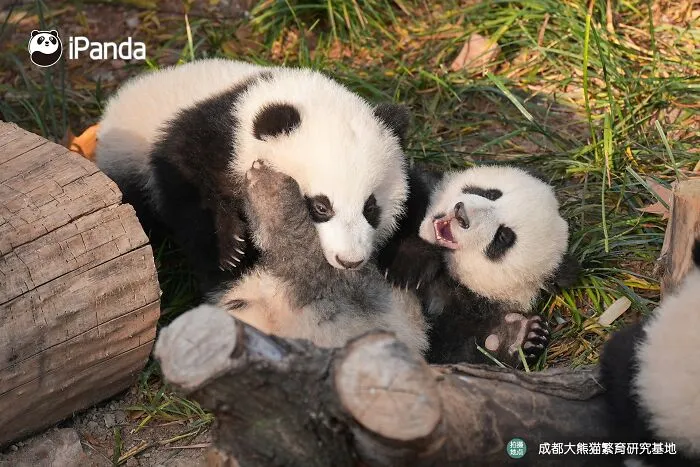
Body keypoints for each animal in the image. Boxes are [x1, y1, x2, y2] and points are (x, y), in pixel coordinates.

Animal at [96, 58, 410, 293]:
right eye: (321, 206)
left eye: (370, 208)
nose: (349, 260)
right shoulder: (207, 139)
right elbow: (189, 191)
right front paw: (229, 253)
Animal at [378, 164, 579, 366]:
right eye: (491, 194)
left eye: (503, 236)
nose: (461, 214)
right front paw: (407, 263)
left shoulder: (455, 315)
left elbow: (456, 349)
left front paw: (516, 336)